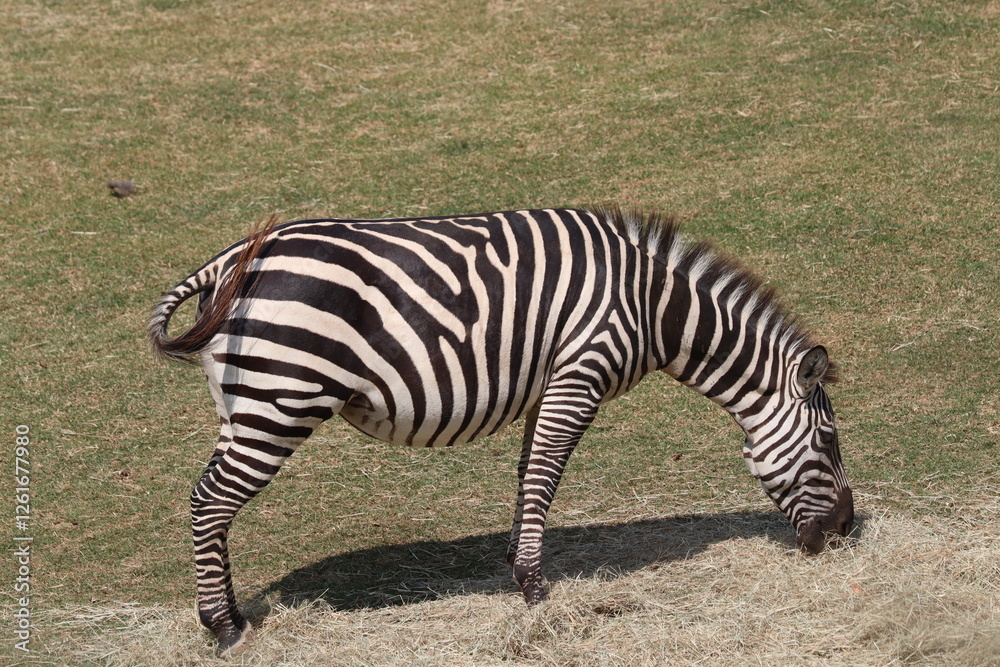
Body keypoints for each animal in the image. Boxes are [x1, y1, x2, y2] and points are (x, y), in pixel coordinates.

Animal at [149, 207, 853, 657]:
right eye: (828, 442)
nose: (848, 530)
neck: (651, 306)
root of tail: (231, 260)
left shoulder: (548, 383)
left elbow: (527, 471)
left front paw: (517, 565)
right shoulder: (580, 372)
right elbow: (547, 471)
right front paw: (536, 587)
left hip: (244, 403)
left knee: (210, 501)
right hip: (279, 401)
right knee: (210, 502)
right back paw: (224, 627)